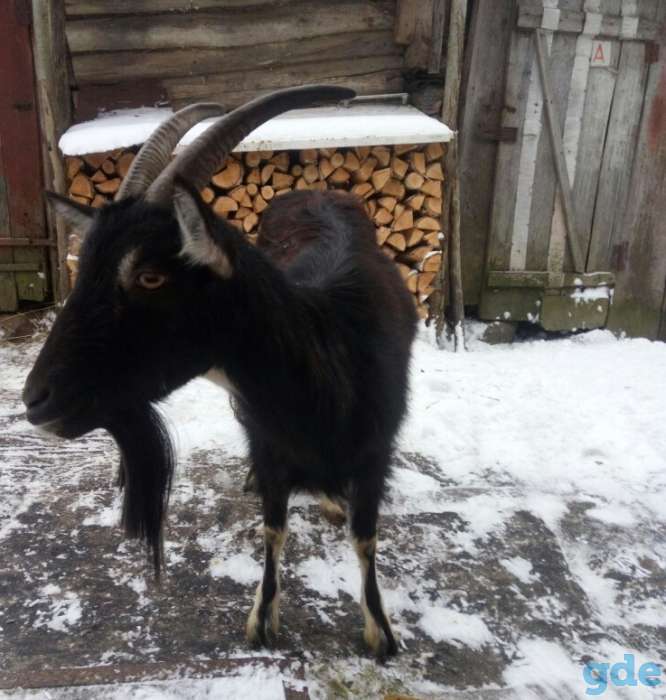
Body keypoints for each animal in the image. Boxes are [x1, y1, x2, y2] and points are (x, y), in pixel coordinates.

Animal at [22, 86, 417, 658]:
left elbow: (365, 537)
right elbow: (274, 528)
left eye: (150, 276)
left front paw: (380, 631)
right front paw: (263, 620)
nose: (35, 399)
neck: (326, 362)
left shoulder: (375, 453)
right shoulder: (269, 444)